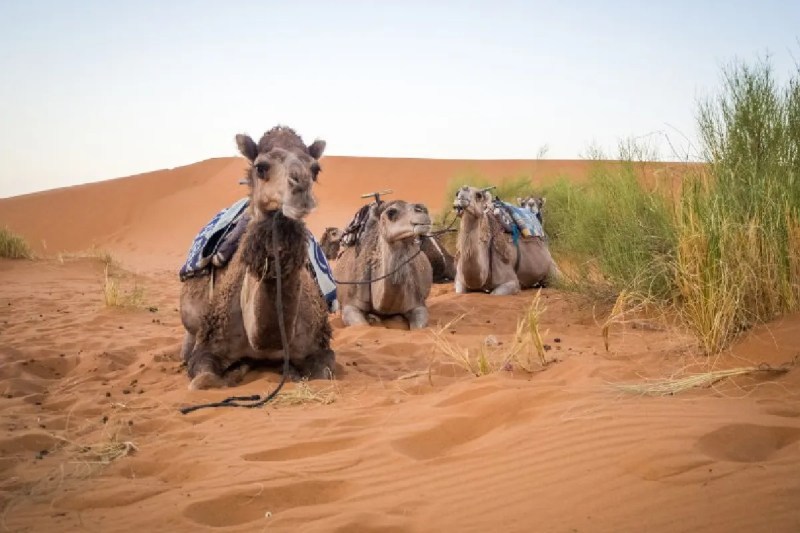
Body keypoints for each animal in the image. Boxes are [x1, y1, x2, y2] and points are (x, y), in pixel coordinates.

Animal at [179, 126, 333, 390]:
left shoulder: (319, 347)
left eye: (315, 169)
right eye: (261, 167)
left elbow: (324, 375)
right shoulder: (208, 344)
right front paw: (237, 371)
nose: (301, 188)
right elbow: (204, 379)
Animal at [334, 200, 433, 329]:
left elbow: (419, 327)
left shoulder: (417, 303)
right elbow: (362, 325)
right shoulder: (350, 303)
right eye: (391, 212)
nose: (422, 209)